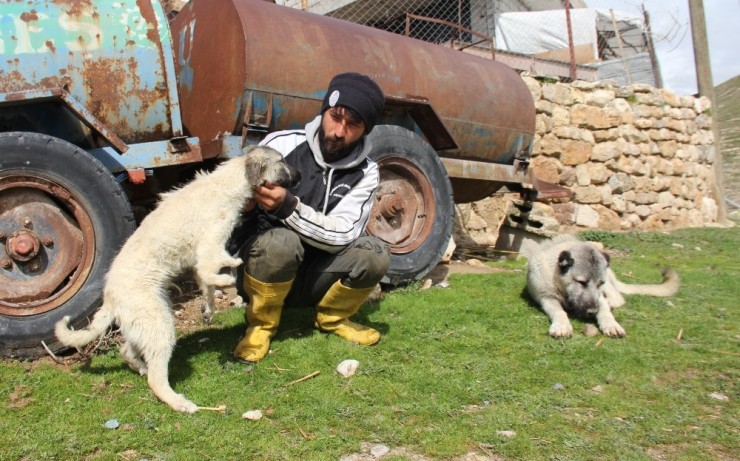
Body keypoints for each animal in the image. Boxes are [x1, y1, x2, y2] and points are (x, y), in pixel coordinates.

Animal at [524, 235, 680, 336]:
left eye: (600, 283)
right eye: (581, 282)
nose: (593, 311)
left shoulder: (600, 297)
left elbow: (604, 311)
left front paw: (611, 324)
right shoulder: (547, 298)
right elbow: (559, 311)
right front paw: (562, 325)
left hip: (609, 286)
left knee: (618, 298)